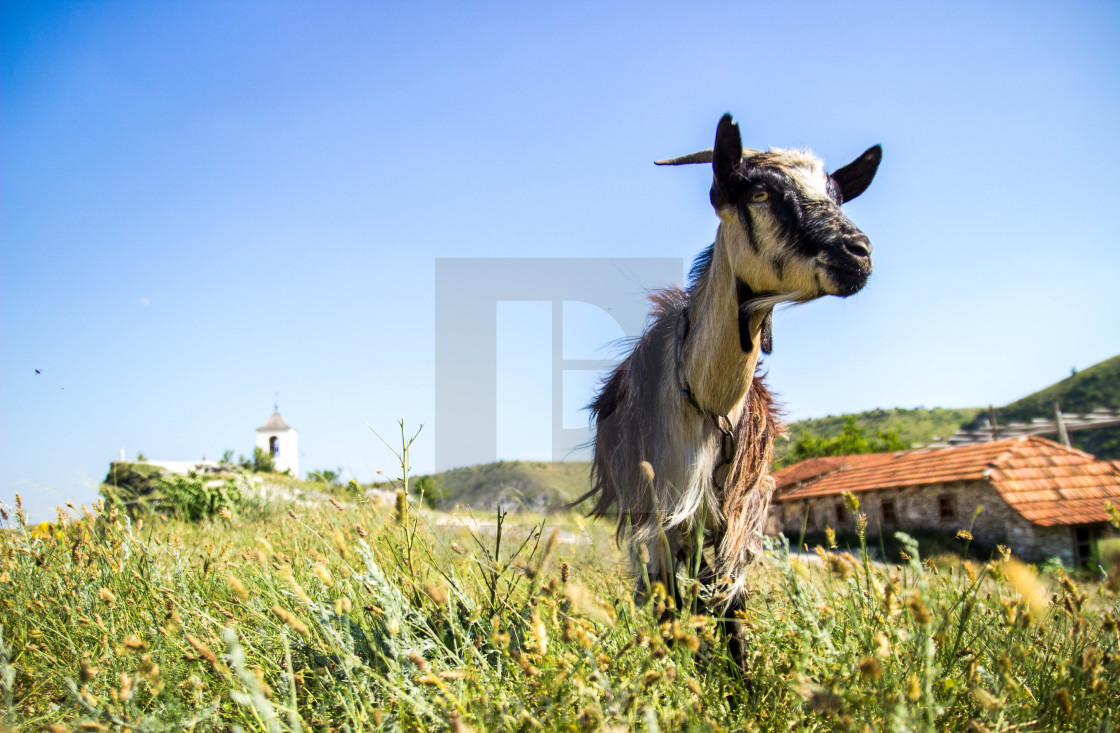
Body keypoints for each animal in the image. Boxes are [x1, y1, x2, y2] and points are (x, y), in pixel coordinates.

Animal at [577, 109, 882, 632]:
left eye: (836, 194)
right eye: (758, 193)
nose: (858, 251)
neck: (706, 401)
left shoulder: (740, 507)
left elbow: (730, 604)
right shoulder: (661, 509)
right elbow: (669, 599)